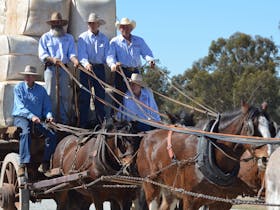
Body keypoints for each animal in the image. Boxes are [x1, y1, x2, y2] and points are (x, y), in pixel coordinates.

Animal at [137, 101, 272, 209]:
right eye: (252, 127)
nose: (266, 158)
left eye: (271, 126)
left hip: (170, 190)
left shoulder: (217, 201)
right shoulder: (190, 199)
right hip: (151, 184)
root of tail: (147, 136)